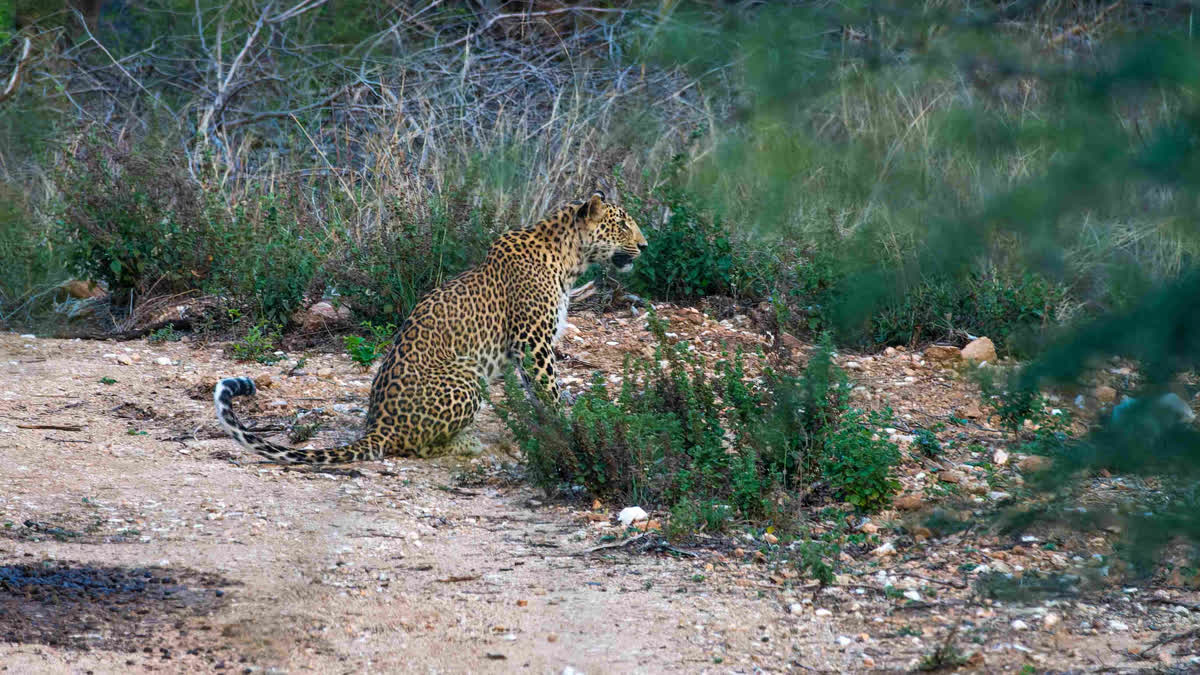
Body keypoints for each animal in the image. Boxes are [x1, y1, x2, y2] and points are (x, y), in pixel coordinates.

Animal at [216, 189, 648, 461]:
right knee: (419, 448)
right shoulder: (533, 344)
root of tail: (377, 428)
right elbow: (549, 393)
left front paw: (548, 432)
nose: (645, 246)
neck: (570, 259)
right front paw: (568, 434)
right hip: (467, 377)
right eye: (622, 225)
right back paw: (470, 444)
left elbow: (536, 397)